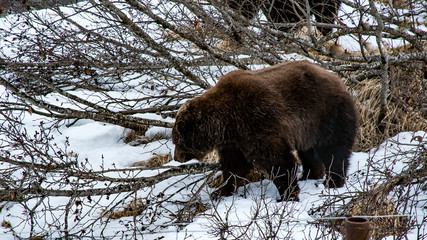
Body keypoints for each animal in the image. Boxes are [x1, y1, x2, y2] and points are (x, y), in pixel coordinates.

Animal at [172, 60, 360, 201]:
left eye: (177, 141)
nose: (176, 157)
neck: (225, 121)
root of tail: (338, 80)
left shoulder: (257, 119)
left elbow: (278, 160)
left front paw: (287, 194)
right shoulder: (235, 140)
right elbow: (234, 166)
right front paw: (220, 191)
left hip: (326, 114)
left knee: (334, 150)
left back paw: (333, 181)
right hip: (308, 129)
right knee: (308, 152)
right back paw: (309, 175)